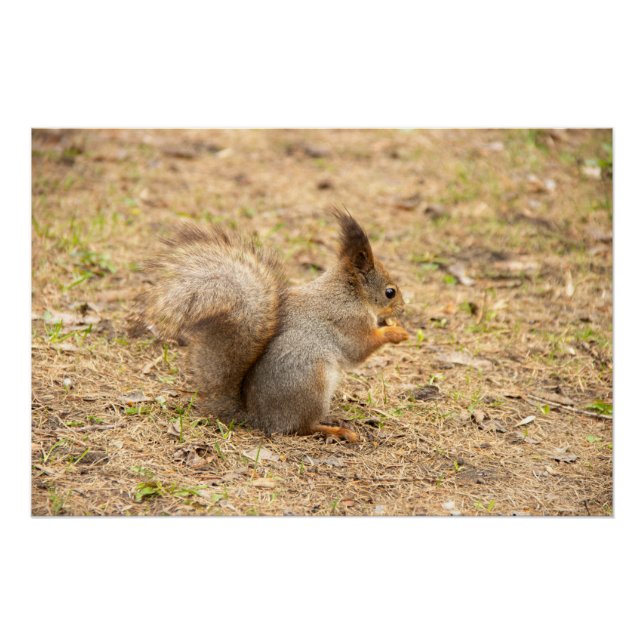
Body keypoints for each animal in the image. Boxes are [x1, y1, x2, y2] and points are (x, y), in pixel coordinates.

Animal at [138, 207, 409, 442]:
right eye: (390, 292)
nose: (403, 309)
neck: (350, 293)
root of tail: (259, 418)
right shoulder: (349, 321)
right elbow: (360, 349)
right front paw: (396, 332)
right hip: (312, 384)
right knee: (302, 427)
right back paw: (337, 430)